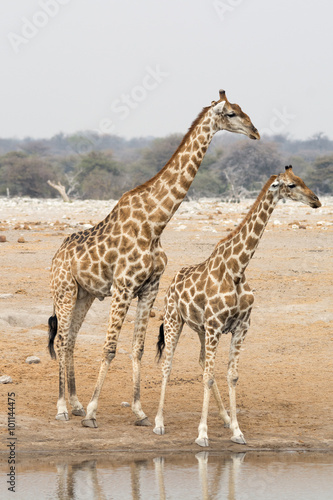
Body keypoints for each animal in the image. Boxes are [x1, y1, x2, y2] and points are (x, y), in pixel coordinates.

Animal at [48, 89, 260, 426]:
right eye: (231, 113)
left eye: (242, 109)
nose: (255, 132)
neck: (156, 222)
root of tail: (55, 258)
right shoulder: (123, 286)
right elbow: (110, 348)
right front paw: (93, 413)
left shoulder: (149, 287)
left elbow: (138, 348)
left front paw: (139, 411)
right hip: (64, 290)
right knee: (60, 340)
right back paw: (63, 408)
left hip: (85, 295)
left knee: (70, 340)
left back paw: (76, 403)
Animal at [152, 166, 320, 448]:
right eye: (291, 185)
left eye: (303, 180)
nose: (316, 201)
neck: (237, 270)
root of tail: (171, 284)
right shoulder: (216, 325)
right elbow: (209, 376)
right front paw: (202, 434)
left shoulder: (240, 327)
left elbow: (231, 375)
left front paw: (237, 431)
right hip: (176, 320)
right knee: (168, 365)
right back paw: (159, 423)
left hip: (201, 329)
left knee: (201, 361)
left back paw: (225, 418)